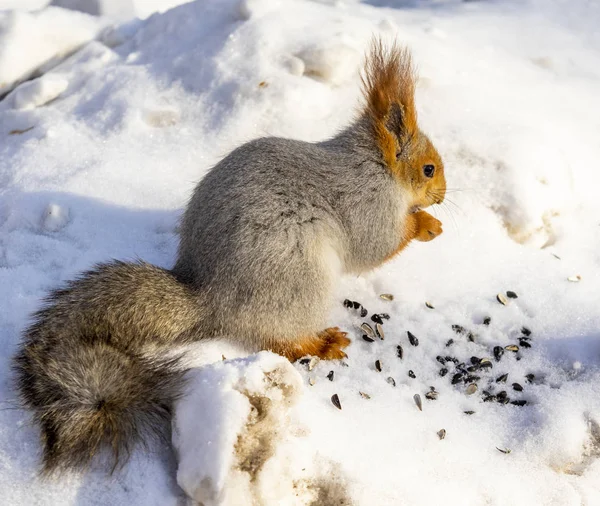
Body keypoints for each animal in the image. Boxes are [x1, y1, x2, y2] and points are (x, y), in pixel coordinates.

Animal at [12, 39, 446, 474]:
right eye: (428, 169)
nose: (442, 195)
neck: (375, 165)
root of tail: (211, 298)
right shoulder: (367, 204)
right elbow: (375, 246)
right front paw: (425, 224)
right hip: (300, 278)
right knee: (279, 340)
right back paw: (320, 343)